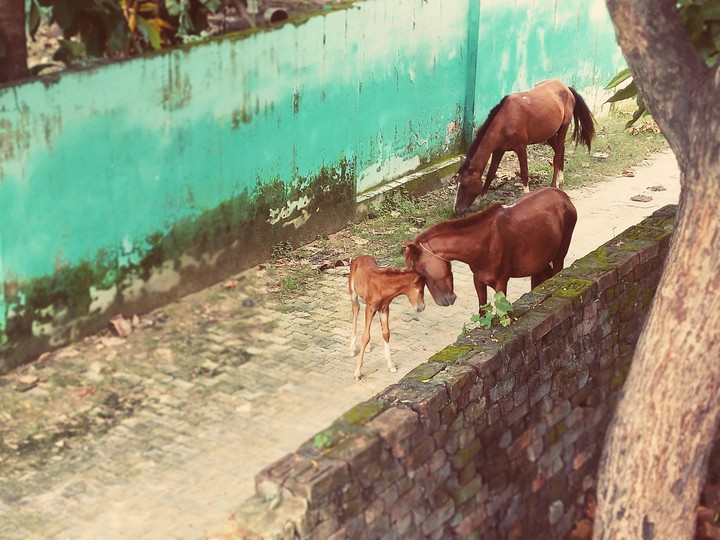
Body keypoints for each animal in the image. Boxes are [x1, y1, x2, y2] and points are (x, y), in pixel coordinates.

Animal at [404, 187, 577, 311]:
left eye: (422, 273)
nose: (444, 301)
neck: (483, 243)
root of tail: (563, 195)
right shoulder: (478, 281)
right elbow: (482, 311)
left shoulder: (501, 283)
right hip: (541, 260)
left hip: (559, 255)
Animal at [453, 79, 595, 214]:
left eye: (464, 184)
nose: (456, 210)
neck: (506, 120)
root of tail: (565, 87)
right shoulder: (498, 150)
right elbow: (490, 174)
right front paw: (482, 197)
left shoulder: (521, 147)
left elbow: (524, 173)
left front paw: (526, 196)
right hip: (548, 133)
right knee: (560, 150)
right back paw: (561, 178)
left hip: (563, 128)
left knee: (557, 154)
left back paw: (555, 184)